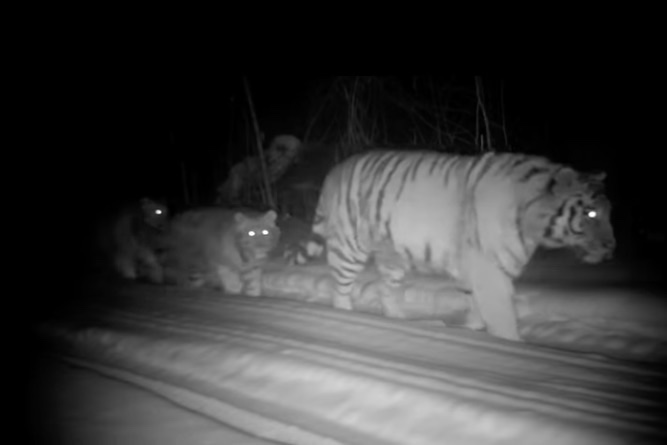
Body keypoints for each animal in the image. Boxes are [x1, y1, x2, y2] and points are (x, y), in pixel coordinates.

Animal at [298, 149, 616, 340]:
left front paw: (470, 330)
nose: (612, 248)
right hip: (350, 247)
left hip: (392, 256)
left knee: (387, 290)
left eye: (608, 211)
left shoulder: (474, 270)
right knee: (341, 290)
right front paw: (511, 345)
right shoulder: (491, 272)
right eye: (591, 214)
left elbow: (476, 307)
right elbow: (502, 316)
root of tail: (335, 170)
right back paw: (347, 317)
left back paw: (400, 322)